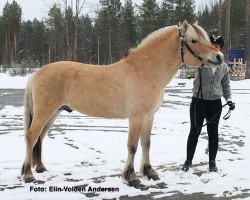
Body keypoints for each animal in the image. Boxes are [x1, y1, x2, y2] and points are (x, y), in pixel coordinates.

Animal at [21, 20, 223, 186]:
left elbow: (146, 143)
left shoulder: (149, 118)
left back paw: (40, 168)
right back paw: (28, 174)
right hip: (44, 113)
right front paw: (131, 177)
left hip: (53, 113)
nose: (219, 57)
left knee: (40, 138)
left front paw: (149, 172)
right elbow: (132, 146)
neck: (145, 71)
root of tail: (37, 72)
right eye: (194, 40)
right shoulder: (136, 118)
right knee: (31, 136)